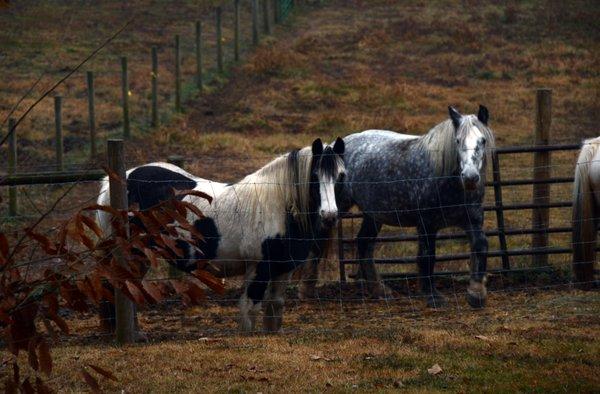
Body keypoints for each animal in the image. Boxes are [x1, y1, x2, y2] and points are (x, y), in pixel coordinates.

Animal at [96, 139, 344, 332]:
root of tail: (120, 179)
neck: (276, 206)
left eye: (341, 176)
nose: (330, 215)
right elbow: (250, 309)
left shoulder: (283, 270)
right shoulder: (258, 268)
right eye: (314, 176)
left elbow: (275, 308)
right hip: (134, 252)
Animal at [302, 105, 494, 308]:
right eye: (457, 141)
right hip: (335, 207)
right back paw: (306, 289)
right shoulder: (427, 224)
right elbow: (427, 256)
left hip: (373, 215)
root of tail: (334, 149)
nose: (470, 177)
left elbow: (481, 246)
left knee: (364, 243)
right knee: (319, 238)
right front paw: (432, 296)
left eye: (482, 140)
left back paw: (379, 289)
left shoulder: (473, 220)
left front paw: (476, 293)